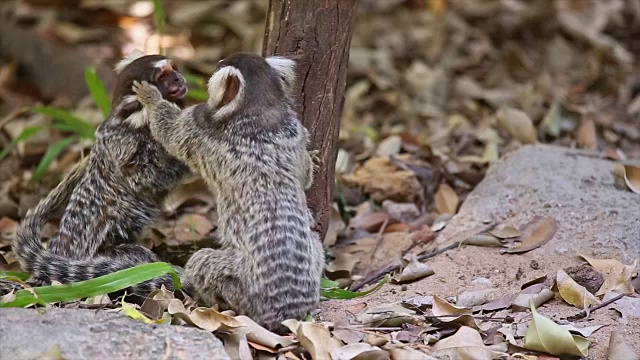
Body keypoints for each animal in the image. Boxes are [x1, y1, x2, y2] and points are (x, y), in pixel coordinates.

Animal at [135, 53, 324, 332]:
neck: (258, 111)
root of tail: (286, 311)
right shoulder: (295, 132)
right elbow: (305, 175)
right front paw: (312, 162)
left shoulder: (199, 125)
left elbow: (170, 133)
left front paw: (151, 98)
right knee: (315, 242)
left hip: (237, 283)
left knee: (202, 261)